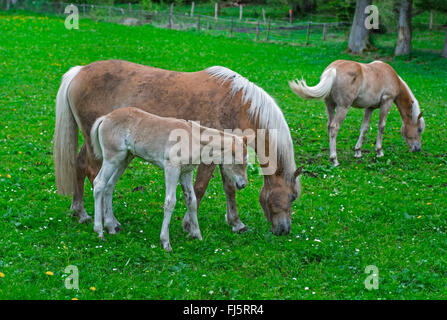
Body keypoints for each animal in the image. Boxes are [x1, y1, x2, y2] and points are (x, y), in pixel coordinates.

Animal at [54, 59, 302, 235]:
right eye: (291, 197)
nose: (284, 230)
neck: (239, 105)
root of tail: (79, 71)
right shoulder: (209, 158)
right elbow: (199, 188)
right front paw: (188, 224)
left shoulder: (228, 156)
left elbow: (229, 188)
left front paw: (236, 223)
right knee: (97, 177)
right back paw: (107, 222)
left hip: (95, 142)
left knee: (80, 165)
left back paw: (80, 212)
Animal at [90, 107, 250, 252]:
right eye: (238, 162)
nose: (243, 184)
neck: (193, 138)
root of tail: (106, 117)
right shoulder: (172, 169)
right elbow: (170, 202)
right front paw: (165, 242)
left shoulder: (186, 172)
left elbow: (191, 201)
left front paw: (197, 235)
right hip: (112, 158)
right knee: (99, 184)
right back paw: (99, 231)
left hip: (124, 158)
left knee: (110, 186)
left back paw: (110, 227)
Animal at [290, 59, 428, 168]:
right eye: (419, 129)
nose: (418, 149)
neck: (391, 76)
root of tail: (333, 69)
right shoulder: (387, 102)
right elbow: (381, 126)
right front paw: (379, 151)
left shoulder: (369, 108)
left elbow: (364, 128)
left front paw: (358, 152)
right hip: (343, 107)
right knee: (334, 127)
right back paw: (334, 159)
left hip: (330, 105)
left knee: (329, 126)